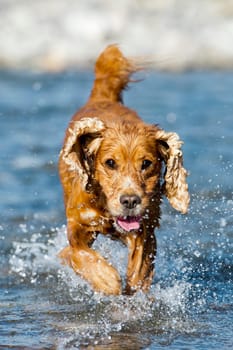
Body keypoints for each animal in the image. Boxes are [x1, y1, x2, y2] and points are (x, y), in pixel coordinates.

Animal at [58, 45, 189, 294]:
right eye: (110, 163)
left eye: (146, 163)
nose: (129, 201)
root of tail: (102, 96)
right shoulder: (78, 223)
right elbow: (77, 253)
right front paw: (106, 279)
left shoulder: (145, 227)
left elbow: (138, 270)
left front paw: (134, 288)